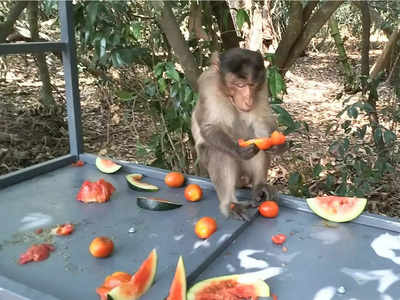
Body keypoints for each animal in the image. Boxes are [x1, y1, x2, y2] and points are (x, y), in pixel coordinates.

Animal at [191, 47, 288, 220]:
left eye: (251, 85)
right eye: (239, 85)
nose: (248, 99)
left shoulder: (262, 85)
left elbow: (262, 120)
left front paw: (278, 145)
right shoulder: (208, 85)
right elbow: (210, 127)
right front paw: (239, 149)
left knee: (258, 144)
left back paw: (259, 186)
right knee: (219, 151)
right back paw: (230, 203)